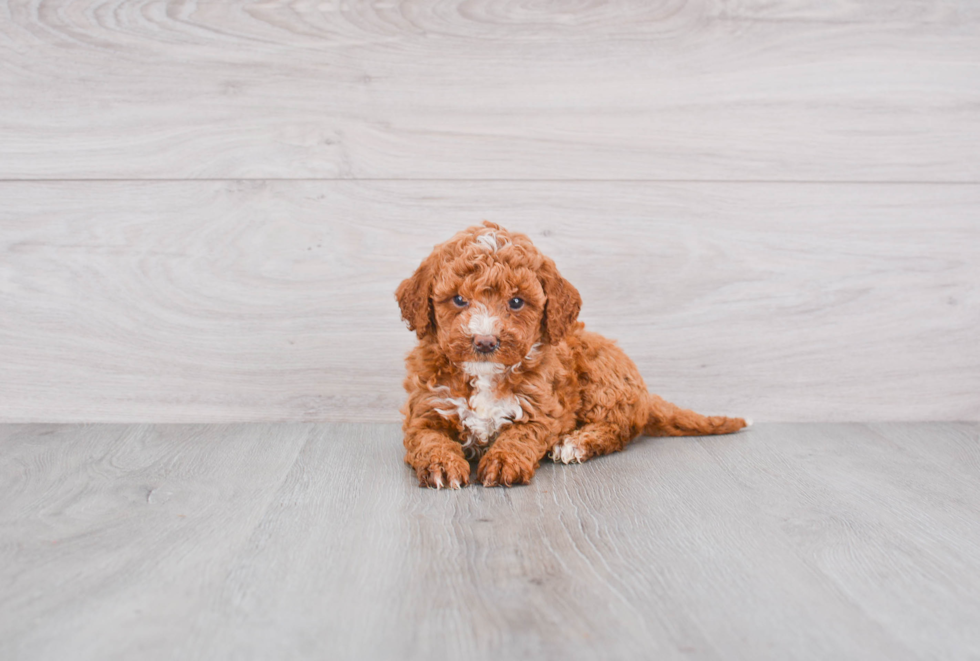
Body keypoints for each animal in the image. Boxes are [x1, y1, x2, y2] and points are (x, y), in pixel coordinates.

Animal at [394, 224, 748, 488]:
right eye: (458, 299)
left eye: (517, 302)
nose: (484, 342)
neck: (485, 373)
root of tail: (646, 395)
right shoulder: (426, 410)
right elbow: (428, 439)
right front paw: (442, 465)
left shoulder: (540, 409)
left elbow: (520, 435)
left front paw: (504, 460)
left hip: (600, 377)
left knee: (617, 429)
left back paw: (574, 443)